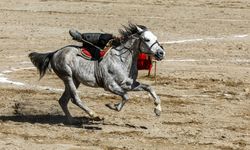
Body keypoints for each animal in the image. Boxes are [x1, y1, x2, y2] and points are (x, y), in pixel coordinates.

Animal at [29, 24, 165, 123]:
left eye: (156, 38)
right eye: (147, 39)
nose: (161, 53)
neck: (121, 59)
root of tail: (55, 53)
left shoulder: (128, 84)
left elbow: (149, 88)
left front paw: (158, 110)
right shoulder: (110, 86)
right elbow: (126, 96)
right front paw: (113, 106)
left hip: (75, 80)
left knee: (63, 100)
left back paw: (71, 120)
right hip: (67, 77)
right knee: (75, 99)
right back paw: (94, 115)